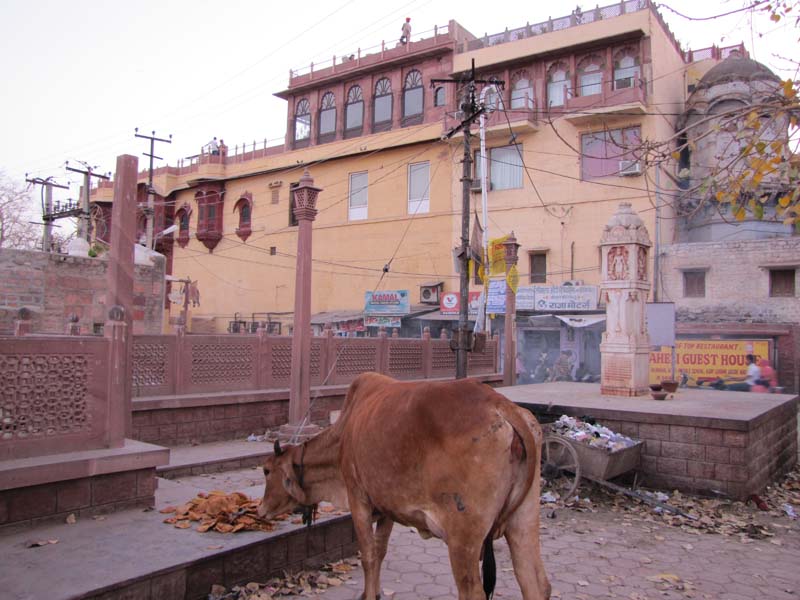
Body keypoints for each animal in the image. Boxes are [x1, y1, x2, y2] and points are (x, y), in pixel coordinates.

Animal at [256, 372, 552, 596]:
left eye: (267, 470)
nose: (260, 510)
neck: (343, 436)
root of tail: (501, 405)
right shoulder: (387, 507)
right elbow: (380, 551)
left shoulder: (358, 498)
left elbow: (368, 556)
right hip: (523, 521)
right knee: (535, 582)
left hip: (464, 538)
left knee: (473, 591)